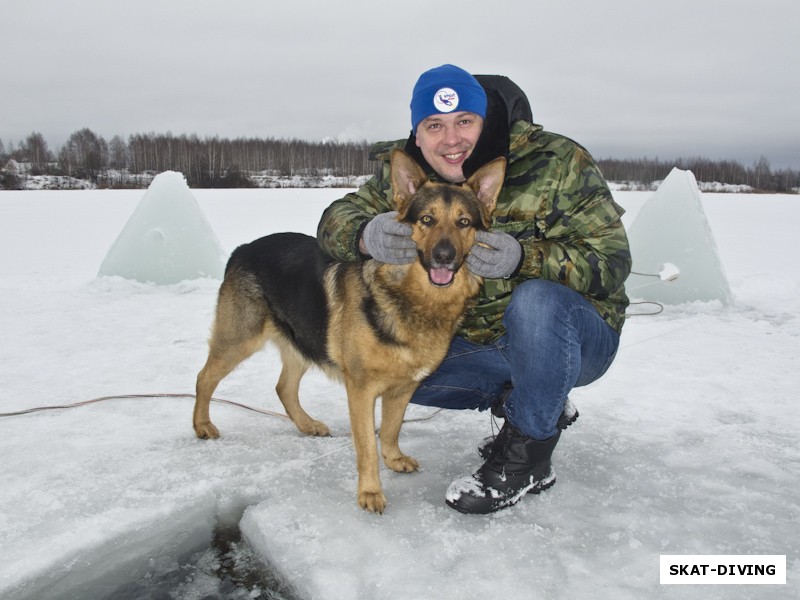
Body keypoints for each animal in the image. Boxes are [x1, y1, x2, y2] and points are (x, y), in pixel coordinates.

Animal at [195, 149, 506, 510]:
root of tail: (242, 249)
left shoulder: (403, 389)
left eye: (464, 222)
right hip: (238, 340)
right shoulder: (361, 391)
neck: (415, 299)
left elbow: (391, 429)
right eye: (427, 220)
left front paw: (393, 458)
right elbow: (367, 445)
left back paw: (306, 424)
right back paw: (202, 425)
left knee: (284, 388)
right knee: (204, 378)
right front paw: (370, 492)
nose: (444, 256)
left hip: (303, 341)